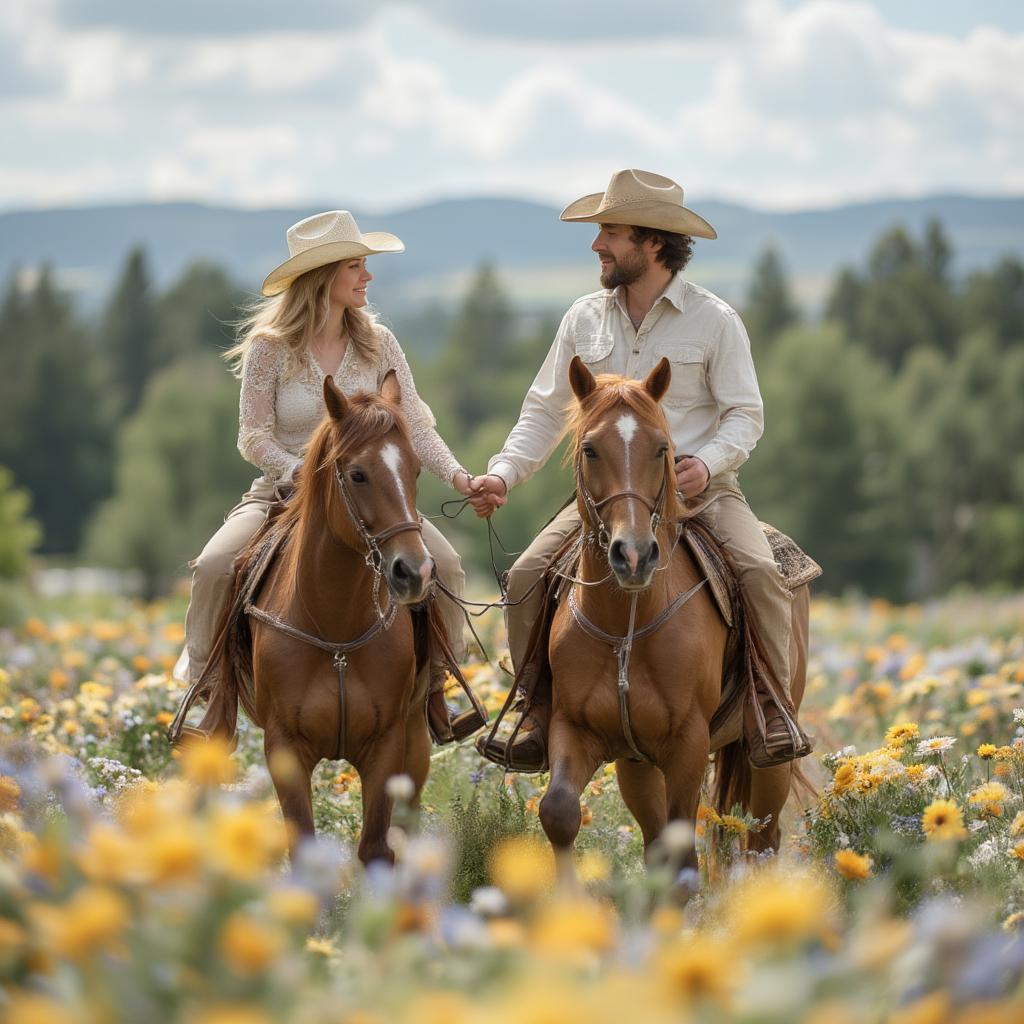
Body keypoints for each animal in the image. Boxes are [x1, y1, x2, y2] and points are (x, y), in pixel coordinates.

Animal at [192, 372, 436, 860]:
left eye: (416, 469)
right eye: (358, 474)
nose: (414, 571)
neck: (336, 628)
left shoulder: (387, 746)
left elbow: (376, 847)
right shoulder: (284, 747)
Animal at [536, 356, 806, 884]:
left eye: (662, 448)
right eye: (589, 449)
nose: (634, 555)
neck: (626, 623)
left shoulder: (687, 744)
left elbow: (684, 857)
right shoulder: (575, 728)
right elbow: (558, 812)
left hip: (770, 758)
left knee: (763, 837)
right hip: (637, 763)